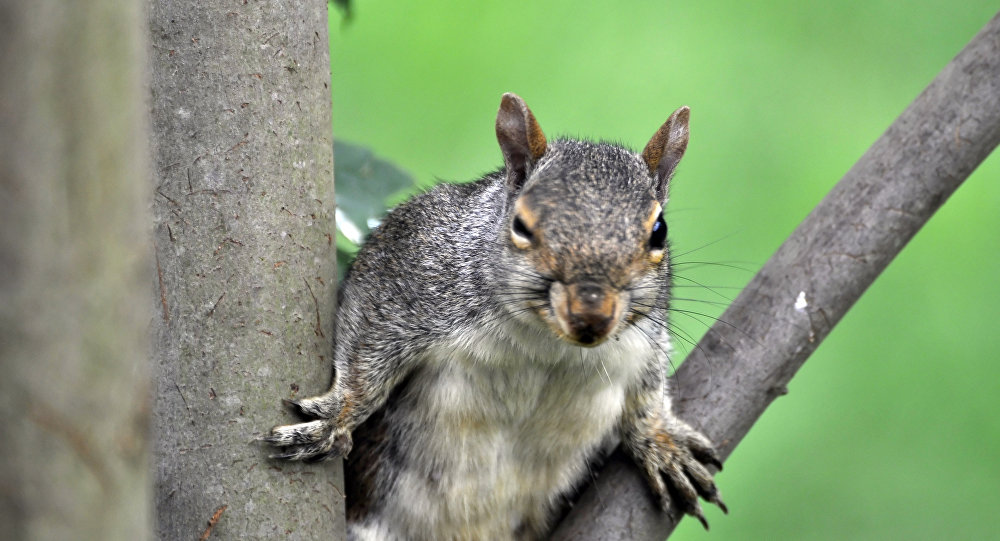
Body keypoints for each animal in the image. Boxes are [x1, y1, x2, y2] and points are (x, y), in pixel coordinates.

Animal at [262, 93, 724, 540]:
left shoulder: (644, 339)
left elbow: (648, 389)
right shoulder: (405, 273)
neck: (546, 341)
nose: (591, 315)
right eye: (521, 224)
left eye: (659, 231)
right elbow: (367, 353)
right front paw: (339, 415)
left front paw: (661, 439)